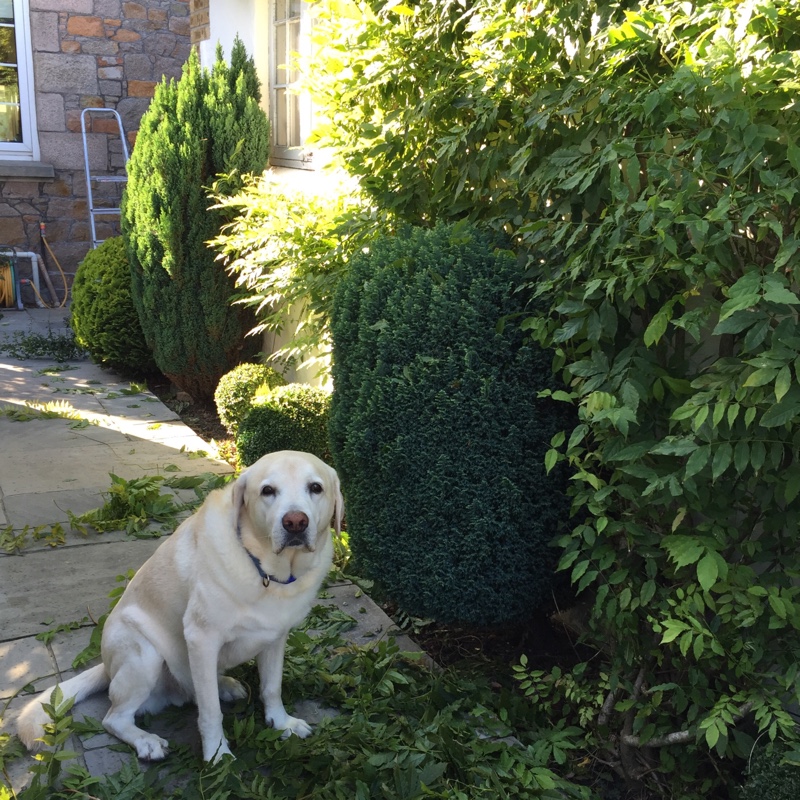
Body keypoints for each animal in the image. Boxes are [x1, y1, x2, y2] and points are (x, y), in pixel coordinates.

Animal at [16, 450, 340, 764]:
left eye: (315, 488)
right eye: (268, 491)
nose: (295, 522)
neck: (266, 571)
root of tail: (106, 667)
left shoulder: (275, 637)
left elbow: (272, 687)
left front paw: (282, 723)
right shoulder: (201, 638)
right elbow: (210, 712)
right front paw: (217, 754)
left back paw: (224, 685)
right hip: (144, 656)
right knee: (115, 717)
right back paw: (146, 741)